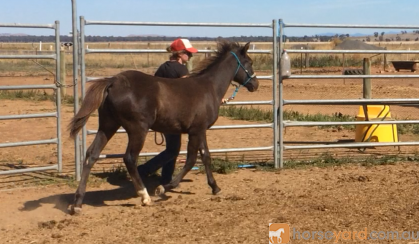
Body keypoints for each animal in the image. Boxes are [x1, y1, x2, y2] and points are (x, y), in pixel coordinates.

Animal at [68, 40, 260, 214]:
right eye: (249, 62)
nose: (255, 84)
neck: (209, 87)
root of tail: (114, 81)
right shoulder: (196, 130)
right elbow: (191, 159)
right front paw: (165, 187)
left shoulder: (200, 130)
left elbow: (206, 156)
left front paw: (215, 187)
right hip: (137, 130)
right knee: (129, 158)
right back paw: (145, 196)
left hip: (108, 126)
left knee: (92, 154)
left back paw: (77, 203)